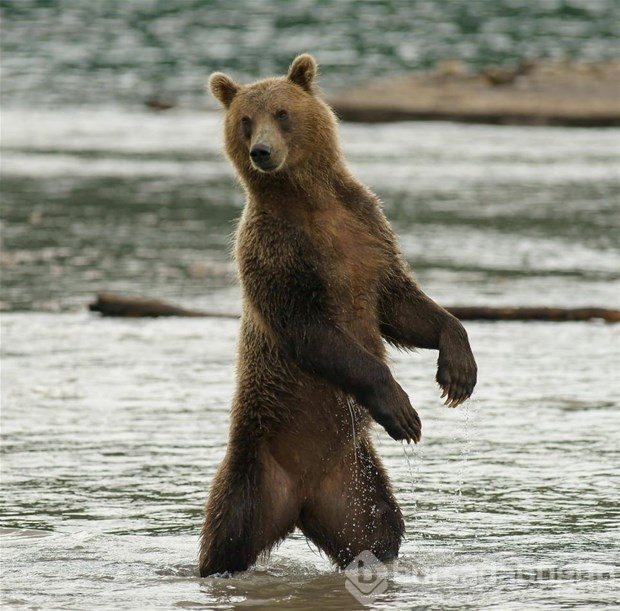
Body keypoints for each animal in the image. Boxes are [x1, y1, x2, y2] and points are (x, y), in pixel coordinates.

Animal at [201, 53, 478, 580]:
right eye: (245, 120)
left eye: (282, 112)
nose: (262, 152)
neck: (309, 202)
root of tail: (299, 500)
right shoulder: (274, 253)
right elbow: (313, 332)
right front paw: (402, 409)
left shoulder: (366, 231)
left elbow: (401, 304)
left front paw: (458, 371)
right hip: (255, 464)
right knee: (227, 534)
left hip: (353, 483)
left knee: (378, 529)